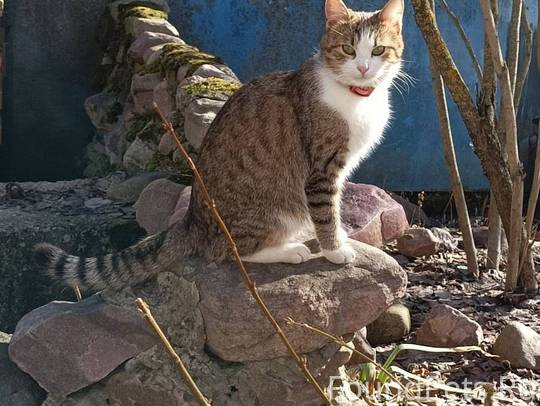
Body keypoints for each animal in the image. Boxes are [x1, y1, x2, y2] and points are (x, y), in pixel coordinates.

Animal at [35, 0, 405, 291]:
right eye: (348, 50)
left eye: (378, 50)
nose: (363, 67)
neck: (355, 97)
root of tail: (192, 221)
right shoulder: (322, 168)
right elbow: (327, 211)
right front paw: (335, 249)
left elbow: (336, 207)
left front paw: (339, 238)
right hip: (264, 212)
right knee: (230, 250)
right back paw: (288, 250)